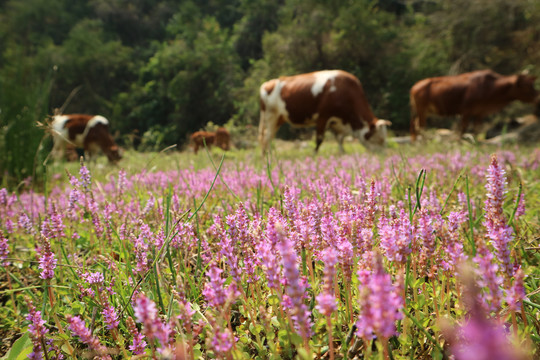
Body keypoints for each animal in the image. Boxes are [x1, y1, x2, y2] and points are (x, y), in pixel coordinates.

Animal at [258, 69, 390, 154]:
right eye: (380, 139)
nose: (383, 155)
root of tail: (267, 84)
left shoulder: (336, 122)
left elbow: (340, 139)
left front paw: (342, 153)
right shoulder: (323, 116)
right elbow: (319, 139)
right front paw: (315, 155)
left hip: (279, 118)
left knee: (269, 137)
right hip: (270, 116)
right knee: (267, 138)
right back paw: (268, 156)